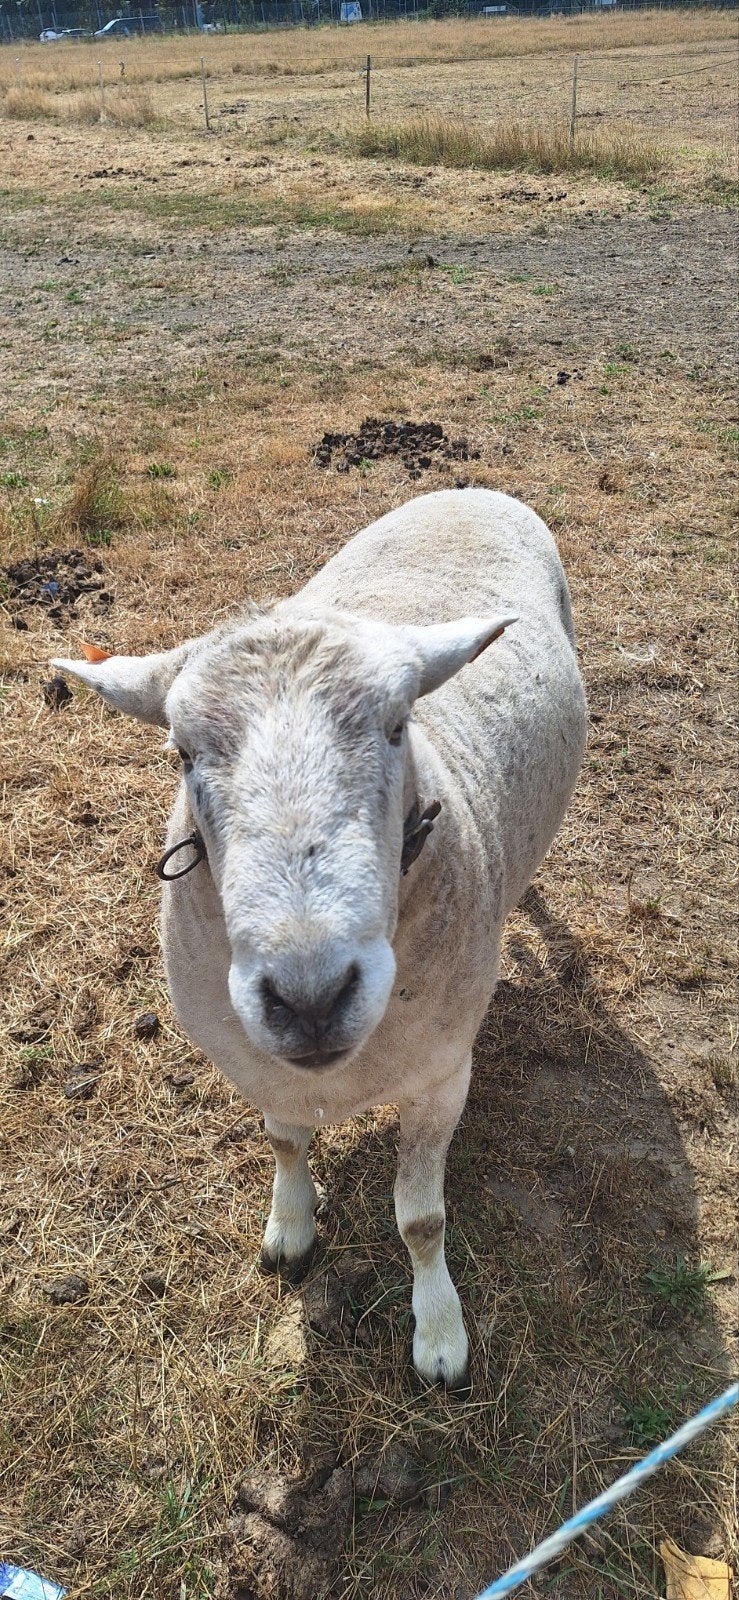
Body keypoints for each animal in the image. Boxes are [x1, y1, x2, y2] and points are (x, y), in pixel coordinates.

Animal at [54, 487, 587, 1389]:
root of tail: (466, 490)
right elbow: (281, 1142)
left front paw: (437, 1332)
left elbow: (420, 1221)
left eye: (400, 726)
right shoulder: (253, 1059)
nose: (308, 998)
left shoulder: (442, 1073)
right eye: (181, 752)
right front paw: (292, 1229)